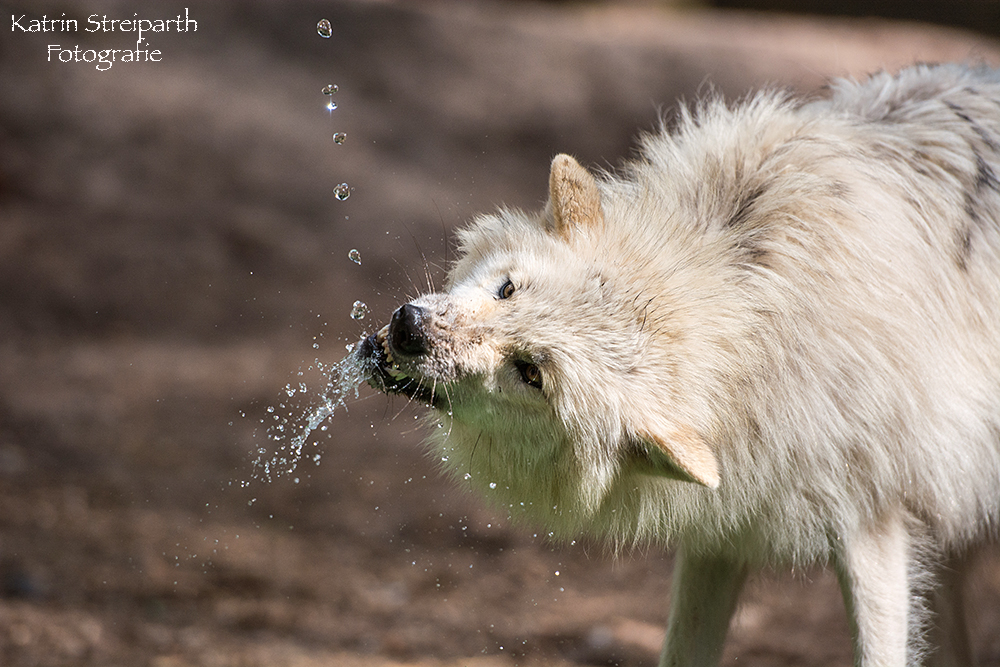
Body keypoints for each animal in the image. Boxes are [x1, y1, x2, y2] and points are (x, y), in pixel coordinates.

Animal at [356, 64, 1000, 667]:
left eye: (531, 374)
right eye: (507, 289)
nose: (409, 329)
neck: (759, 314)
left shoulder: (873, 528)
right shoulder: (724, 530)